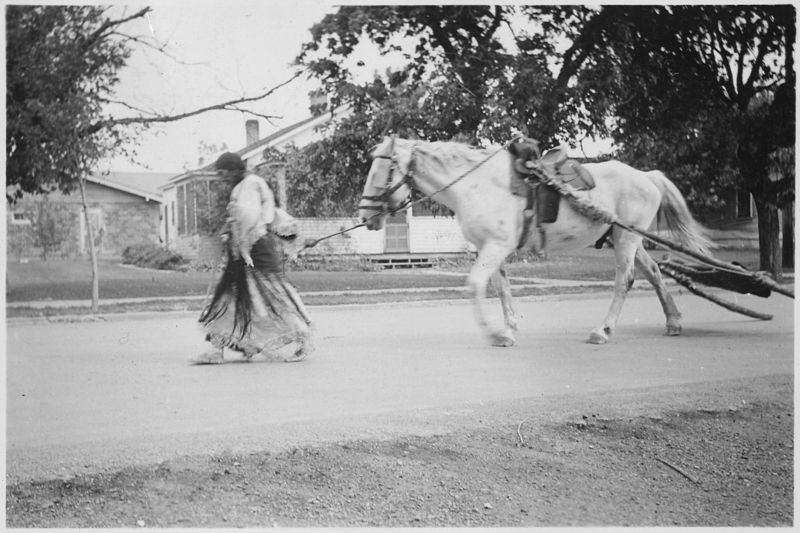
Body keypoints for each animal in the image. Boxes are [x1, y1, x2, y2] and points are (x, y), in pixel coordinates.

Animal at [358, 136, 712, 344]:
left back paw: (603, 330)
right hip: (627, 238)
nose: (365, 215)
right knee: (653, 273)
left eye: (380, 172)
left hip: (626, 237)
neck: (475, 184)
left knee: (624, 281)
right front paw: (508, 328)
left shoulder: (496, 246)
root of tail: (648, 176)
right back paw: (673, 322)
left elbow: (475, 285)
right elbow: (501, 288)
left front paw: (495, 332)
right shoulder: (490, 248)